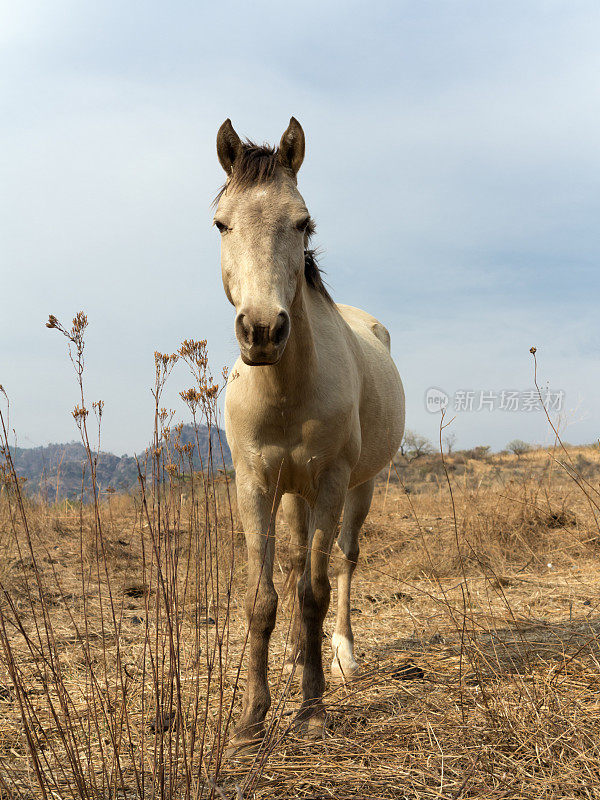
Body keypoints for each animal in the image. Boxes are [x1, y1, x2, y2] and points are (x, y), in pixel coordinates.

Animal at [213, 115, 406, 752]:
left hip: (358, 489)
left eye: (302, 222)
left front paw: (313, 709)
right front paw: (251, 719)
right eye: (221, 223)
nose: (262, 331)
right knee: (298, 561)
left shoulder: (330, 482)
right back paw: (300, 652)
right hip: (290, 490)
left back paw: (340, 655)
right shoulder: (254, 484)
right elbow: (264, 598)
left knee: (342, 561)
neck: (286, 389)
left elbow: (316, 591)